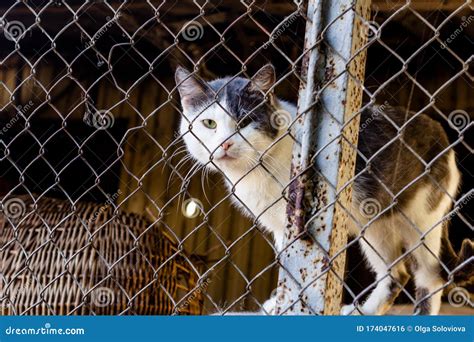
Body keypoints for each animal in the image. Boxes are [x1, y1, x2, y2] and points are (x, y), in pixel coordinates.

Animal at [176, 63, 472, 316]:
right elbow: (287, 264)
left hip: (423, 219)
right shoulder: (279, 227)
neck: (251, 172)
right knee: (396, 273)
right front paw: (281, 303)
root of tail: (442, 133)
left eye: (245, 121)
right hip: (376, 225)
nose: (225, 143)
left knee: (430, 275)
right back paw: (363, 310)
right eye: (209, 123)